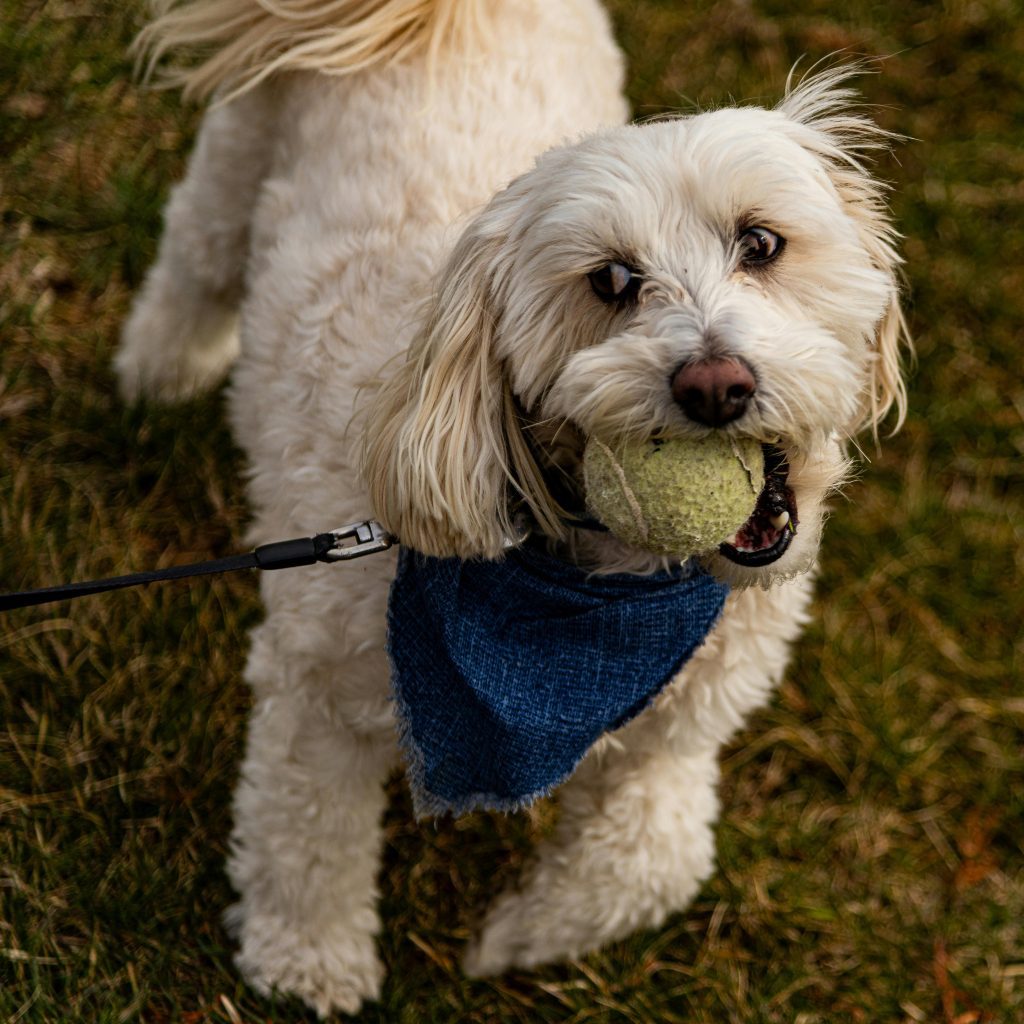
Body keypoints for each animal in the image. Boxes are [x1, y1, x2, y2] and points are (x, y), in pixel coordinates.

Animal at [116, 0, 909, 1011]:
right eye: (611, 281)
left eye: (761, 242)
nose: (716, 384)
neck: (601, 582)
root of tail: (441, 15)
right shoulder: (322, 692)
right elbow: (307, 834)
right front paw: (308, 964)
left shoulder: (676, 727)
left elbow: (652, 862)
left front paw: (514, 942)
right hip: (234, 161)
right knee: (195, 259)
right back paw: (155, 377)